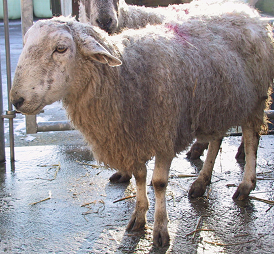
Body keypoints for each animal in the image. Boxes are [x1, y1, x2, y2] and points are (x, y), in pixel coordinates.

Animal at [9, 11, 274, 246]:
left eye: (61, 48)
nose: (16, 100)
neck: (122, 76)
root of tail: (250, 14)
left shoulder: (164, 134)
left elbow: (158, 183)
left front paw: (160, 230)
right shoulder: (132, 138)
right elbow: (139, 176)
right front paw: (138, 216)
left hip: (255, 100)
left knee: (251, 139)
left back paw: (246, 185)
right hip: (217, 103)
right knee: (217, 139)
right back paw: (201, 181)